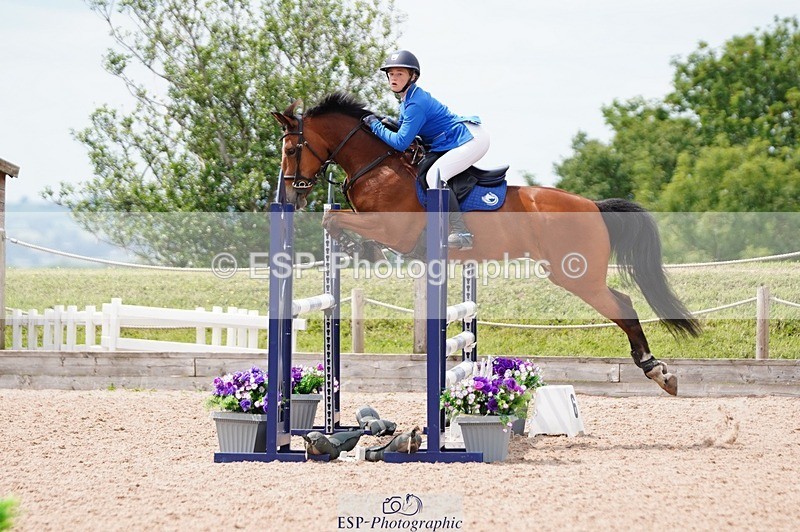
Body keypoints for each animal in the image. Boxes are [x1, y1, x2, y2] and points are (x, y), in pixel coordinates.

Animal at [271, 92, 700, 396]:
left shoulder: (395, 230)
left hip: (575, 275)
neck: (376, 165)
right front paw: (354, 248)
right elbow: (339, 224)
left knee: (623, 306)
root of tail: (593, 205)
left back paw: (658, 371)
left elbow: (334, 219)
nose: (290, 198)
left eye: (291, 149)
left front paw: (352, 243)